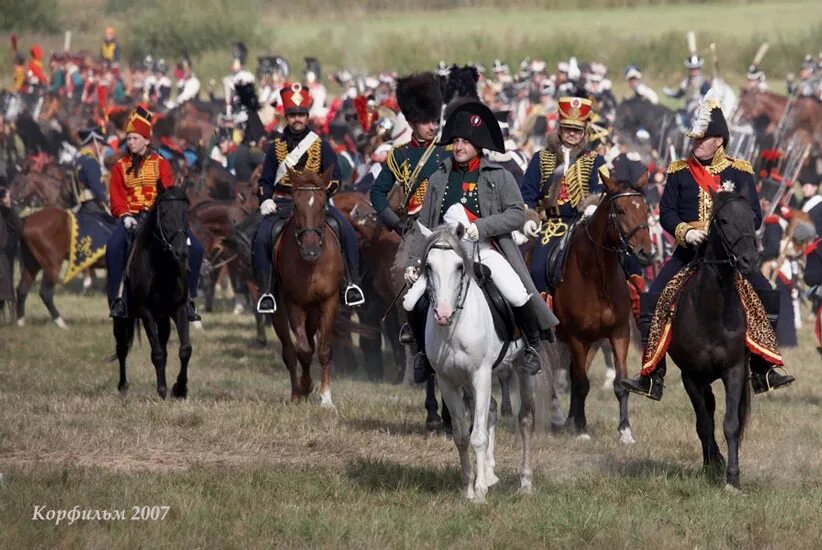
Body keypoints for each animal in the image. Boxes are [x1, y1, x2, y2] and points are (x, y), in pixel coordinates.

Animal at [115, 187, 194, 402]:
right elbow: (156, 352)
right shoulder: (146, 311)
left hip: (163, 317)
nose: (181, 252)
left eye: (186, 213)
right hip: (122, 318)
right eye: (164, 214)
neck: (162, 267)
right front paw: (162, 389)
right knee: (122, 348)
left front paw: (180, 388)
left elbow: (185, 349)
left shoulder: (179, 308)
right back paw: (123, 386)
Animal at [274, 168, 344, 406]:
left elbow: (323, 350)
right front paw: (305, 387)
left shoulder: (329, 300)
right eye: (295, 205)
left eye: (323, 205)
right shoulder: (292, 302)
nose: (310, 251)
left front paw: (326, 398)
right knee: (288, 351)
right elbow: (303, 350)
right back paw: (296, 393)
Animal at [416, 224, 536, 504]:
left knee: (525, 419)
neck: (454, 327)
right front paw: (468, 487)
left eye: (460, 266)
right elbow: (462, 435)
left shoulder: (480, 376)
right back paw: (490, 474)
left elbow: (478, 436)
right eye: (428, 266)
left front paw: (479, 492)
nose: (442, 314)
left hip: (520, 369)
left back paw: (525, 481)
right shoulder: (448, 382)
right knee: (490, 410)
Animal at [552, 172, 660, 444]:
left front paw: (625, 430)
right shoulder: (576, 336)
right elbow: (581, 383)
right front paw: (581, 429)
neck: (597, 277)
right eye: (620, 210)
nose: (646, 254)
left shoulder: (618, 333)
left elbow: (620, 383)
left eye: (645, 209)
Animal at [668, 191, 760, 492]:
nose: (749, 260)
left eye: (752, 217)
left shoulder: (734, 370)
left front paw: (732, 477)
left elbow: (730, 424)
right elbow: (704, 424)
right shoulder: (690, 376)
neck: (710, 311)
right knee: (705, 413)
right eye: (724, 220)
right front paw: (714, 466)